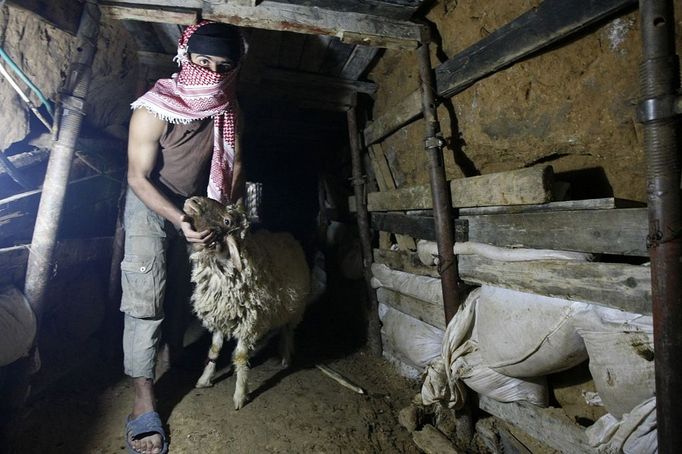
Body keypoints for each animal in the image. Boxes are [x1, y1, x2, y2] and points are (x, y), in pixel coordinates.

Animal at [179, 197, 310, 410]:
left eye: (227, 221)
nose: (194, 201)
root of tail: (287, 235)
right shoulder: (220, 316)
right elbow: (214, 349)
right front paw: (205, 379)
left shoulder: (249, 322)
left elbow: (240, 357)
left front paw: (240, 394)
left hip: (295, 308)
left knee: (288, 331)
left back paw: (285, 357)